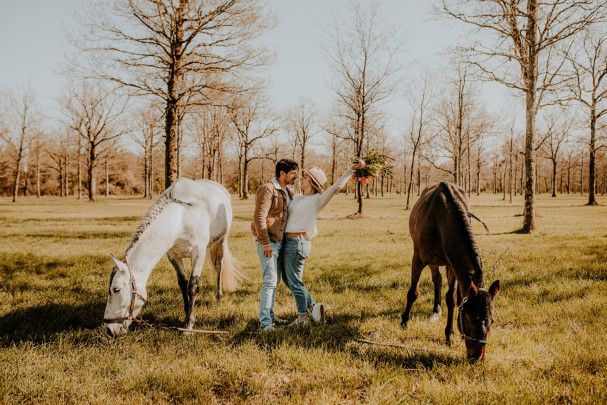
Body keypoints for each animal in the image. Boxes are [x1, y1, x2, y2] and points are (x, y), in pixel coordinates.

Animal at [103, 178, 241, 336]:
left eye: (116, 289)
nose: (109, 330)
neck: (181, 220)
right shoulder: (173, 256)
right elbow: (182, 284)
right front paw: (186, 315)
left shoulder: (198, 253)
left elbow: (192, 287)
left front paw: (189, 327)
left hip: (222, 241)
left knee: (219, 267)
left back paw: (218, 297)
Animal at [404, 181, 498, 362]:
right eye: (472, 318)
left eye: (492, 322)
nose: (477, 357)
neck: (441, 220)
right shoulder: (418, 258)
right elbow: (413, 292)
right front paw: (404, 321)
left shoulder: (452, 263)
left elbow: (452, 298)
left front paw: (449, 334)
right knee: (437, 279)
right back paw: (435, 311)